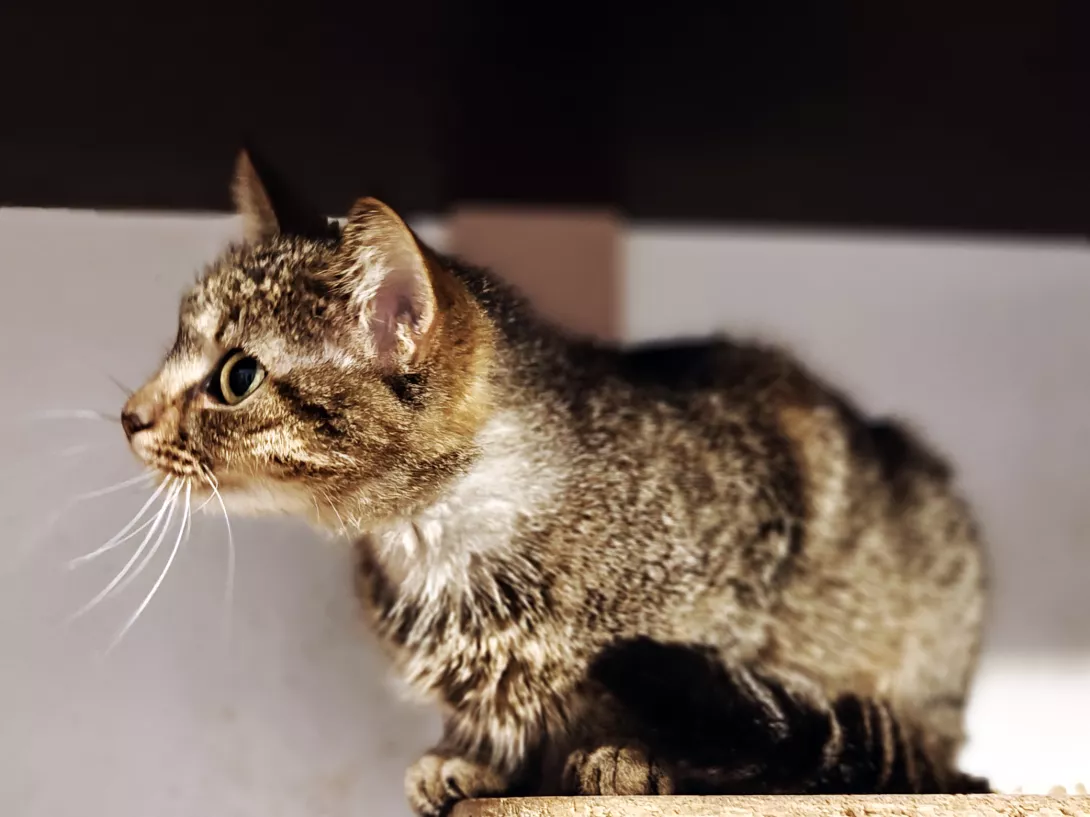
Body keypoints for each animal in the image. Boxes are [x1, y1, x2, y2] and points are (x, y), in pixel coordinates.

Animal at [120, 150, 989, 814]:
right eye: (174, 344)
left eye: (236, 377)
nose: (129, 414)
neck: (441, 542)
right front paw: (469, 757)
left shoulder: (770, 513)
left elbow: (706, 692)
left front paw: (632, 753)